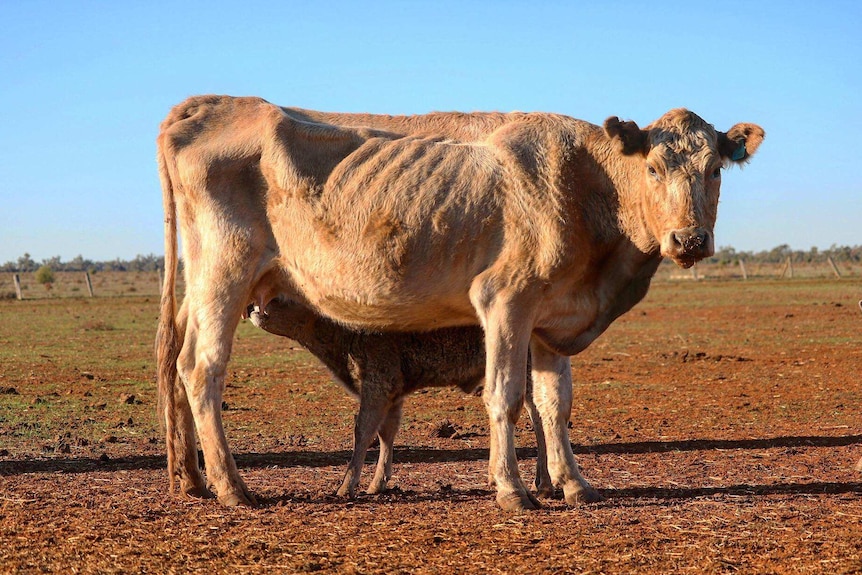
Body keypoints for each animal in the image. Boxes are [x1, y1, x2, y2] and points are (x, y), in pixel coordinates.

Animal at [155, 97, 764, 510]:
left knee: (175, 360)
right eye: (654, 168)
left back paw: (195, 480)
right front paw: (512, 490)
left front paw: (574, 483)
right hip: (224, 273)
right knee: (201, 368)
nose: (690, 239)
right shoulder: (505, 299)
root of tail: (213, 103)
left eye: (714, 170)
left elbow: (555, 405)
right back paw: (233, 487)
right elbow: (507, 396)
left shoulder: (551, 319)